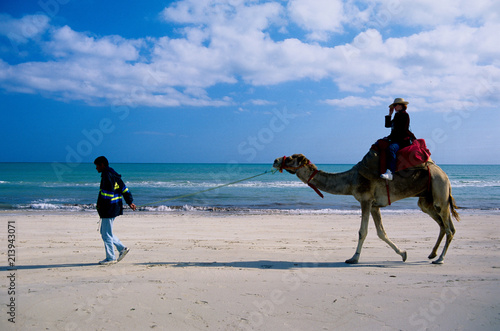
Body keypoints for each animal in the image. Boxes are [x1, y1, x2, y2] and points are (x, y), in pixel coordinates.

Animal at [274, 152, 460, 264]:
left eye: (291, 158)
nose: (275, 160)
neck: (350, 181)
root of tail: (444, 174)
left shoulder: (365, 200)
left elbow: (362, 231)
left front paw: (353, 258)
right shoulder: (374, 205)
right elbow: (381, 232)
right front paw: (403, 253)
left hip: (439, 190)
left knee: (450, 228)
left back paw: (440, 259)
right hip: (426, 200)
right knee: (442, 225)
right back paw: (432, 254)